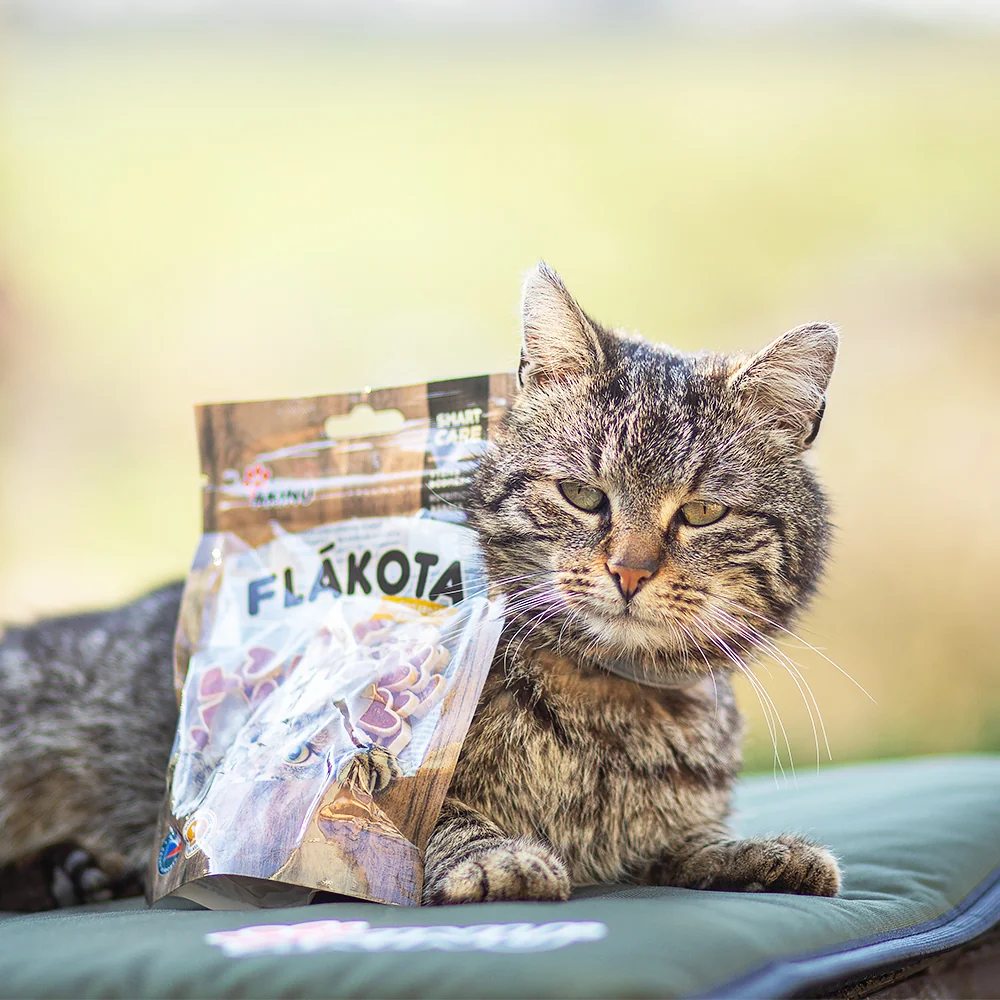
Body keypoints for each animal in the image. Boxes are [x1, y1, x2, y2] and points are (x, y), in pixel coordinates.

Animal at [0, 264, 844, 908]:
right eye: (582, 495)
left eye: (701, 511)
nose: (629, 571)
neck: (609, 703)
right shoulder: (351, 795)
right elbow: (430, 818)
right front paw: (498, 856)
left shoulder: (661, 831)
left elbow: (689, 841)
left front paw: (757, 852)